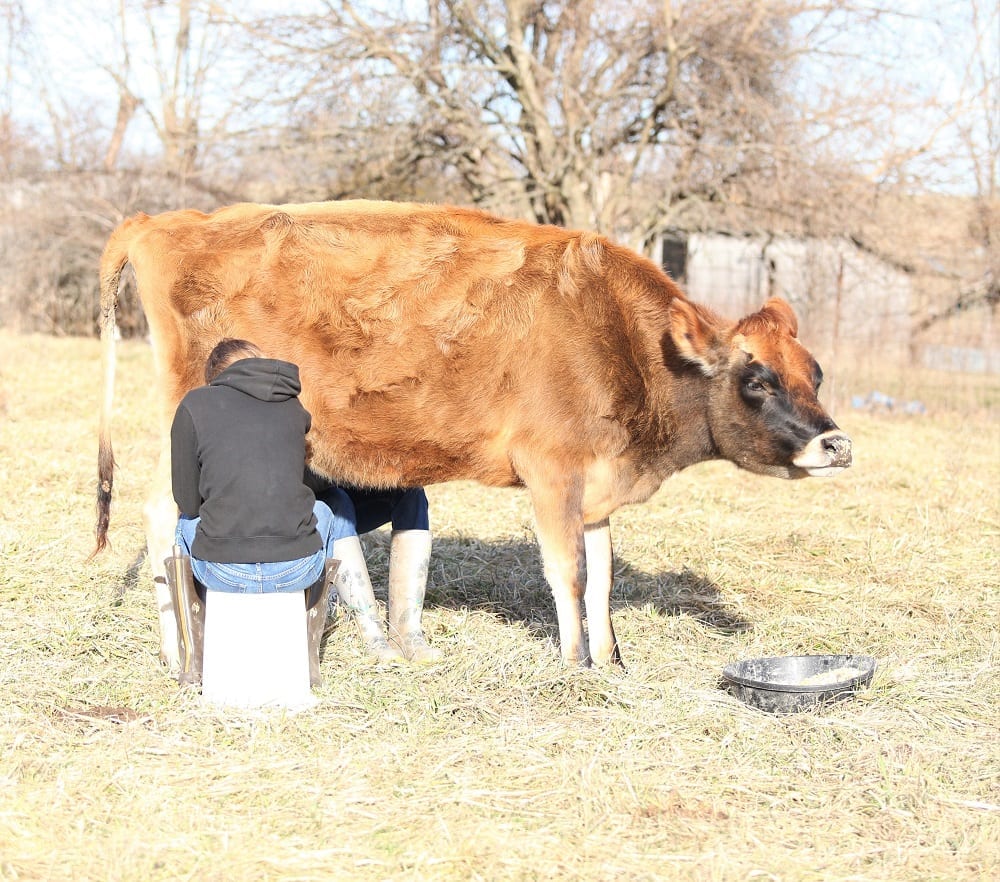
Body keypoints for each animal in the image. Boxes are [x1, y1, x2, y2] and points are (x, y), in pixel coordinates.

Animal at [94, 199, 848, 668]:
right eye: (758, 379)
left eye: (815, 372)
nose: (836, 443)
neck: (623, 340)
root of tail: (171, 220)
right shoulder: (551, 469)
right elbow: (568, 572)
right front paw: (575, 665)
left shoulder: (596, 481)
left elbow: (602, 577)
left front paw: (612, 663)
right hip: (188, 423)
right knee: (160, 516)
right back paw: (177, 650)